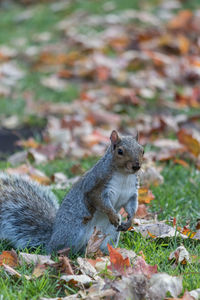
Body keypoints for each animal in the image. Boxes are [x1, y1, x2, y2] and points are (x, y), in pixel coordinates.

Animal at [0, 130, 144, 254]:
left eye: (142, 150)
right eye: (120, 151)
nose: (136, 166)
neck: (124, 175)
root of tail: (51, 240)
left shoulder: (131, 193)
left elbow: (131, 206)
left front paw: (129, 221)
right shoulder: (96, 186)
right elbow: (101, 203)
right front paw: (113, 216)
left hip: (110, 234)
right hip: (73, 232)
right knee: (59, 250)